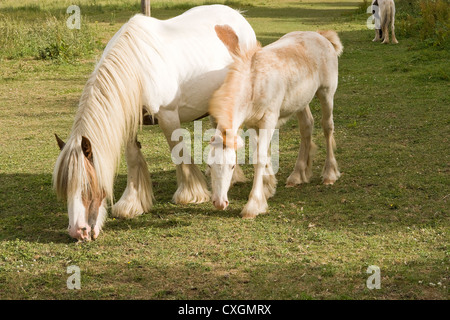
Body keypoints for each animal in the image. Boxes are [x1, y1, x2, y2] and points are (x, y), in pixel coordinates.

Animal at [52, 4, 256, 240]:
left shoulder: (168, 115)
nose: (78, 231)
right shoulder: (130, 121)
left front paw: (191, 193)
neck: (137, 69)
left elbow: (178, 151)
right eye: (65, 188)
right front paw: (131, 203)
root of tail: (238, 15)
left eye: (88, 185)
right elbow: (133, 158)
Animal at [209, 26, 342, 219]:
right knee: (307, 126)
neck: (254, 83)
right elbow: (261, 153)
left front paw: (253, 205)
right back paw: (297, 175)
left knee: (327, 127)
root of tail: (321, 36)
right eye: (209, 165)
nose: (219, 203)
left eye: (232, 166)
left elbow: (259, 157)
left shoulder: (269, 119)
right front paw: (268, 187)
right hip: (300, 101)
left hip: (326, 93)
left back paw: (329, 174)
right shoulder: (253, 123)